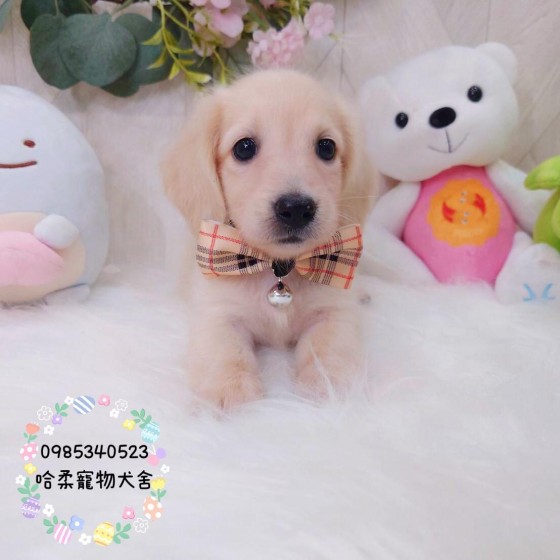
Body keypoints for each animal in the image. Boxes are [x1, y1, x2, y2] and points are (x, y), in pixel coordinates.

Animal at [164, 70, 376, 409]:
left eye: (327, 148)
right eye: (244, 147)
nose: (296, 208)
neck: (278, 268)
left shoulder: (333, 312)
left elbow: (328, 349)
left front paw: (329, 390)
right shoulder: (217, 314)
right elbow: (225, 352)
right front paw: (230, 393)